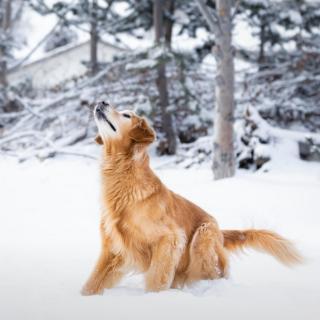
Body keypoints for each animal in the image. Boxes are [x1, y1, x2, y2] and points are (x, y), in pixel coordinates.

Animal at [81, 102, 302, 296]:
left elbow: (157, 278)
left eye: (126, 115)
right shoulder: (113, 248)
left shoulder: (170, 239)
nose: (102, 101)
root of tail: (221, 232)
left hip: (202, 237)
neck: (122, 175)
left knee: (213, 273)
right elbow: (93, 282)